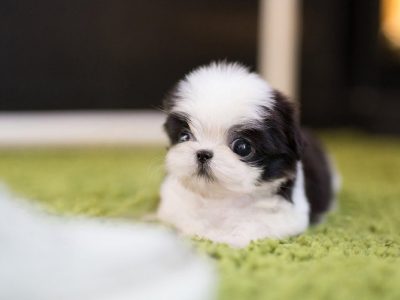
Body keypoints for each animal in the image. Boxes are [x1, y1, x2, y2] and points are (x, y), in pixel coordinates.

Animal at [156, 62, 338, 247]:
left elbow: (253, 225)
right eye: (184, 136)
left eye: (242, 147)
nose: (203, 154)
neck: (220, 198)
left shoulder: (284, 215)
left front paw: (218, 239)